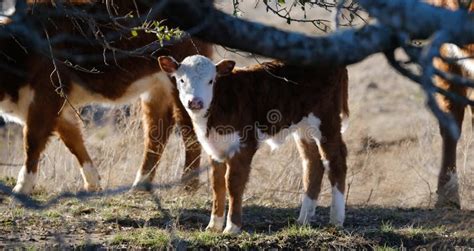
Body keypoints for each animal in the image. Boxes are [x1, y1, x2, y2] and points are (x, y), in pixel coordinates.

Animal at [0, 0, 211, 194]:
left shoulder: (45, 97)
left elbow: (32, 142)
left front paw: (21, 188)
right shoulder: (58, 107)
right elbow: (74, 141)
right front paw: (92, 183)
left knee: (189, 131)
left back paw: (188, 186)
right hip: (157, 87)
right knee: (157, 131)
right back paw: (140, 185)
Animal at [159, 55, 348, 233]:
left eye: (211, 80)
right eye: (181, 80)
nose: (195, 102)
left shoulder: (244, 144)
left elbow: (233, 183)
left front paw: (232, 227)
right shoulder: (214, 147)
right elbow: (217, 184)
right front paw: (214, 226)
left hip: (327, 119)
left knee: (336, 161)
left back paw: (336, 220)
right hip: (303, 127)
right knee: (312, 162)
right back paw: (304, 219)